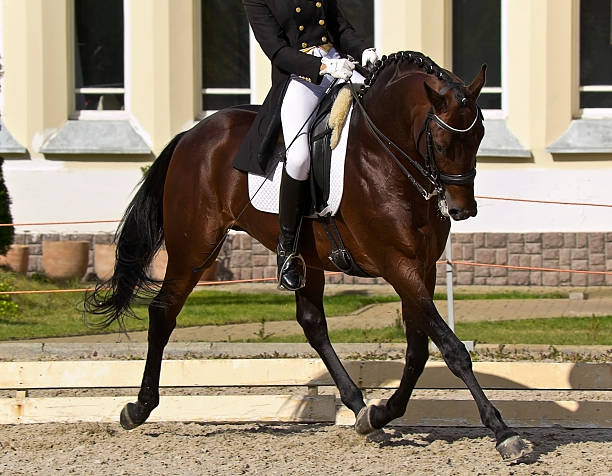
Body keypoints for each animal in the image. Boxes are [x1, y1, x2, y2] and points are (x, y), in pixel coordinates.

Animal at [85, 52, 532, 462]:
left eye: (480, 136)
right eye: (439, 143)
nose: (462, 209)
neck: (386, 155)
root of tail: (193, 134)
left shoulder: (422, 268)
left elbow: (419, 349)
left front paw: (382, 413)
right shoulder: (397, 264)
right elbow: (451, 348)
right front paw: (503, 432)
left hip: (304, 257)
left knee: (313, 324)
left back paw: (358, 406)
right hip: (193, 247)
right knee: (163, 312)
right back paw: (138, 408)